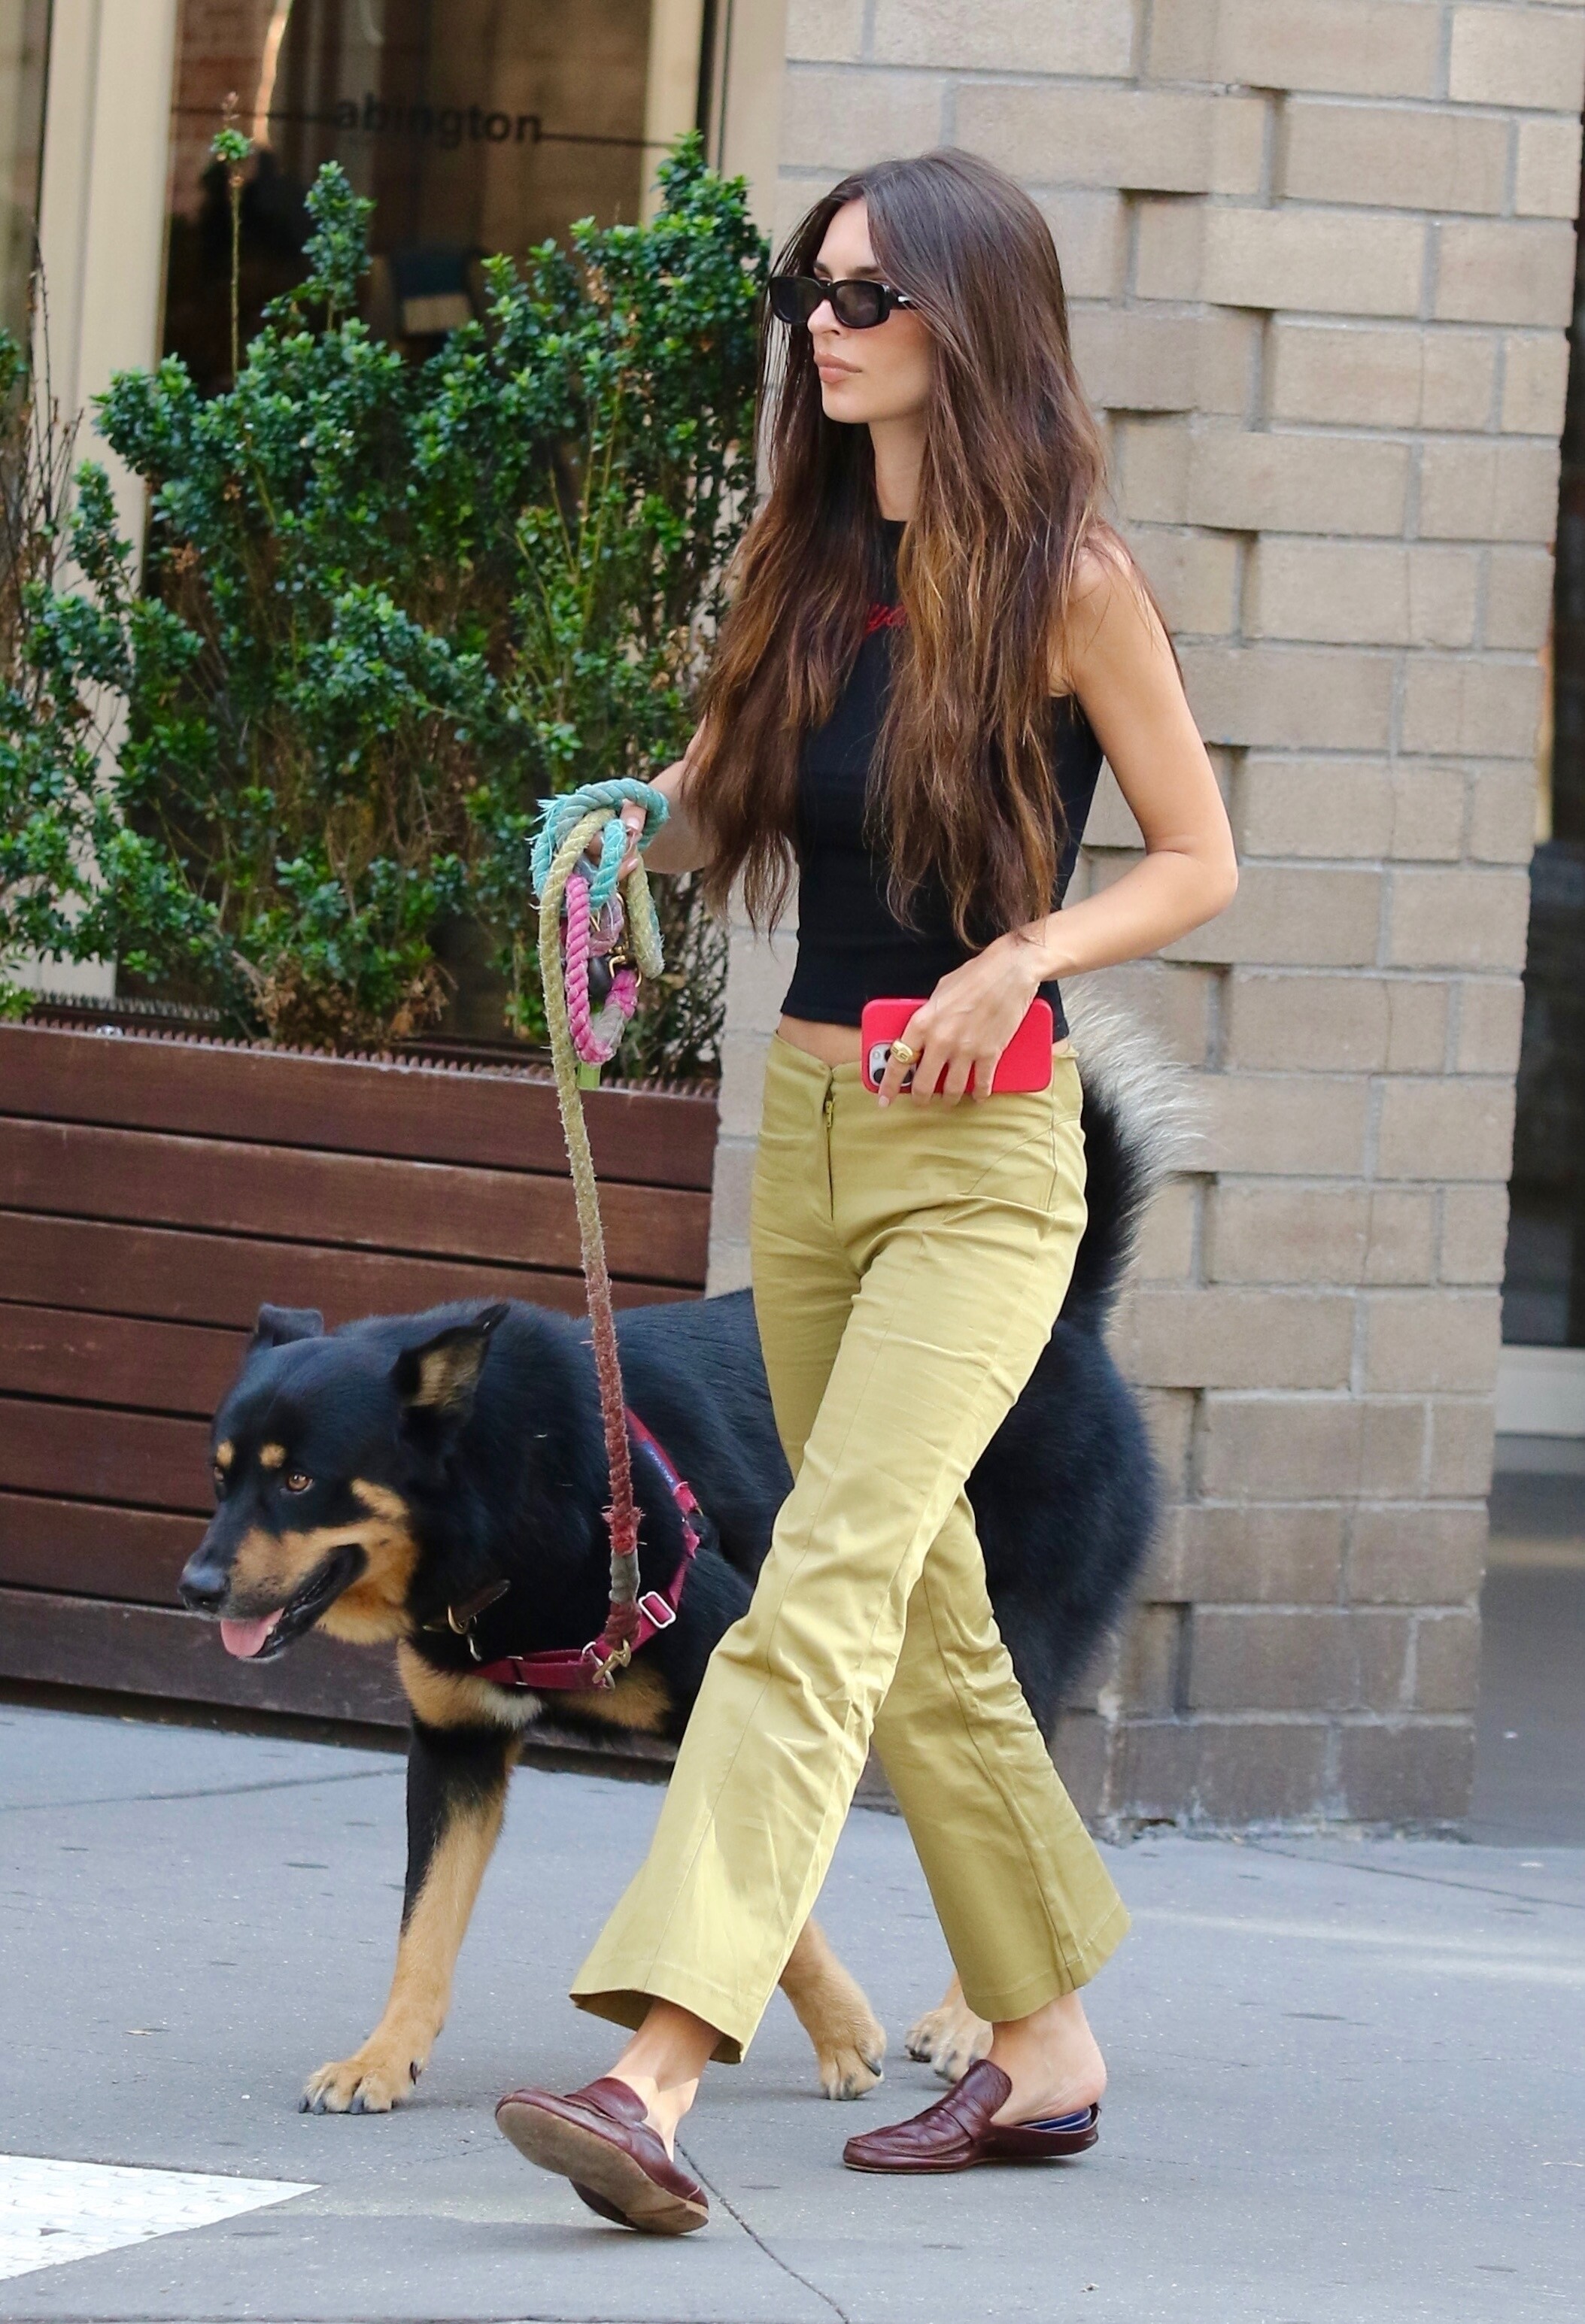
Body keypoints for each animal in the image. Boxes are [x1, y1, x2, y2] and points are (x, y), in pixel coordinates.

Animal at [178, 999, 1182, 2113]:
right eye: (221, 1475)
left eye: (300, 1482)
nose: (197, 1586)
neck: (518, 1480)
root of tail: (1067, 1320)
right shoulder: (456, 1746)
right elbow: (423, 1928)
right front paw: (383, 2056)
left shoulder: (726, 1685)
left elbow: (755, 1907)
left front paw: (840, 2035)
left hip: (1010, 1647)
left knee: (1014, 1817)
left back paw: (978, 2026)